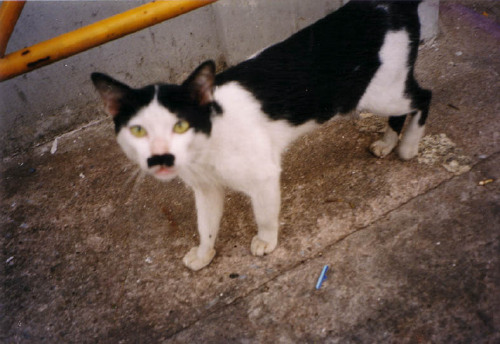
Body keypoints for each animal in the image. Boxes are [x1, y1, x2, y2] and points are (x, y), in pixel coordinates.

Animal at [93, 0, 430, 272]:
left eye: (180, 125)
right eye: (138, 130)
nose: (161, 155)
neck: (207, 146)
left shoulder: (265, 175)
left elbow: (265, 213)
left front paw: (266, 241)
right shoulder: (206, 189)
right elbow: (206, 225)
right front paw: (204, 254)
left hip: (380, 93)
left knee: (423, 97)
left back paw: (407, 146)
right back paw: (387, 142)